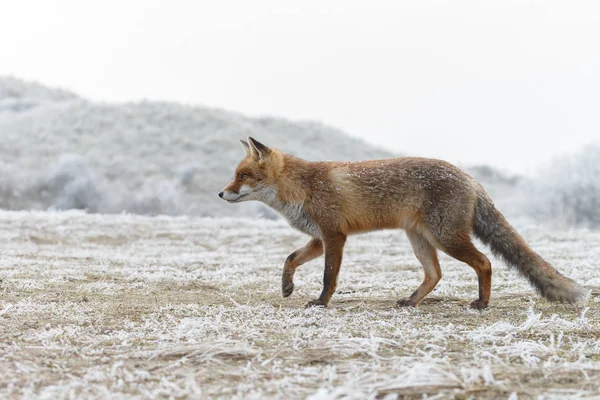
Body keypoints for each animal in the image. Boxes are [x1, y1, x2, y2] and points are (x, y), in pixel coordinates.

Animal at [218, 138, 588, 310]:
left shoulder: (335, 236)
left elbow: (328, 277)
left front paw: (321, 303)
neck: (303, 187)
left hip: (446, 238)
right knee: (435, 274)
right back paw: (412, 302)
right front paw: (287, 287)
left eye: (243, 176)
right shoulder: (320, 237)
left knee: (484, 262)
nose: (221, 193)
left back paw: (482, 303)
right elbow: (290, 259)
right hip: (420, 240)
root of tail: (470, 178)